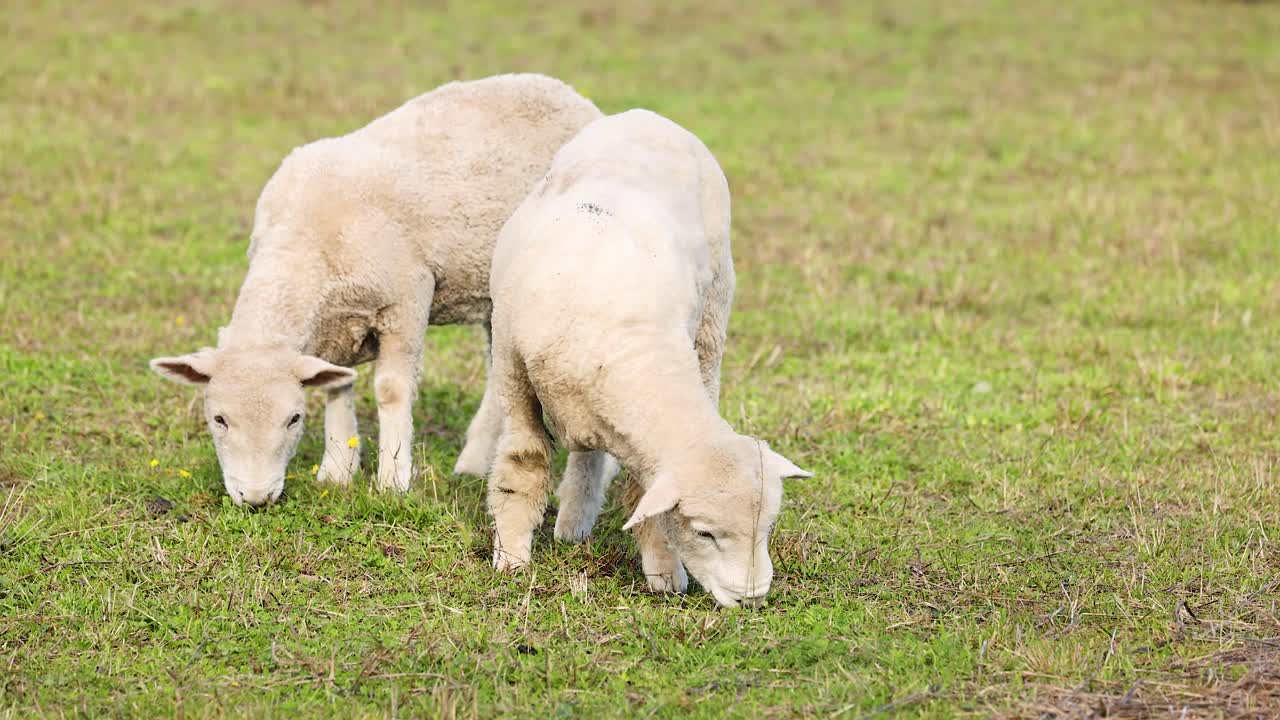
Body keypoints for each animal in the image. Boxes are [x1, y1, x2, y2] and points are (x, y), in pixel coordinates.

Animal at [150, 74, 602, 507]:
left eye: (293, 419)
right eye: (218, 419)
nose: (256, 499)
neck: (305, 242)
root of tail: (565, 91)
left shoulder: (407, 296)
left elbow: (391, 390)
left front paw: (392, 479)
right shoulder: (333, 322)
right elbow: (335, 385)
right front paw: (336, 470)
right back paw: (475, 461)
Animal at [485, 109, 812, 609]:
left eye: (769, 526)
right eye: (705, 533)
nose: (752, 598)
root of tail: (648, 116)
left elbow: (645, 499)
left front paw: (662, 573)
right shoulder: (511, 369)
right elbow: (523, 464)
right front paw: (512, 559)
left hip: (713, 314)